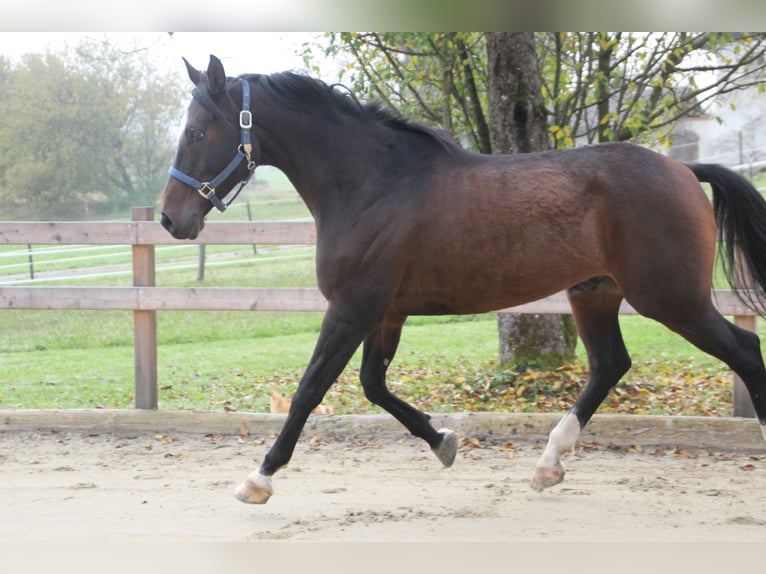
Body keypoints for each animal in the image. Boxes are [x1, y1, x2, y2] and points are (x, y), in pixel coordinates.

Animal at [160, 54, 766, 504]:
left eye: (197, 132)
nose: (170, 220)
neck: (371, 183)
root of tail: (684, 168)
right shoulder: (386, 311)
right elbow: (373, 385)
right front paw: (444, 441)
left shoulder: (353, 308)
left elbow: (311, 390)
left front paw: (258, 479)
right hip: (594, 294)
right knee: (610, 365)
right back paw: (547, 466)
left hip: (672, 298)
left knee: (744, 348)